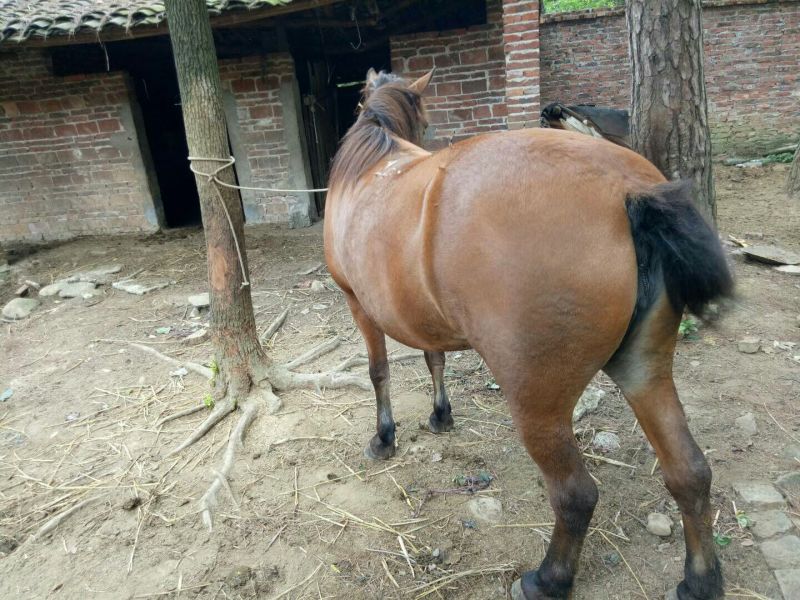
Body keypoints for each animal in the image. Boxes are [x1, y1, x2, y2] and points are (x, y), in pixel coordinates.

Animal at [323, 69, 732, 600]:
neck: (371, 166)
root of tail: (626, 191)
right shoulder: (421, 319)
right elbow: (435, 360)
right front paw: (440, 415)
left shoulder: (358, 303)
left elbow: (378, 373)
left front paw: (383, 437)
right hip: (646, 371)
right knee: (689, 471)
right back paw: (701, 579)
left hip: (538, 401)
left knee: (576, 493)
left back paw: (548, 579)